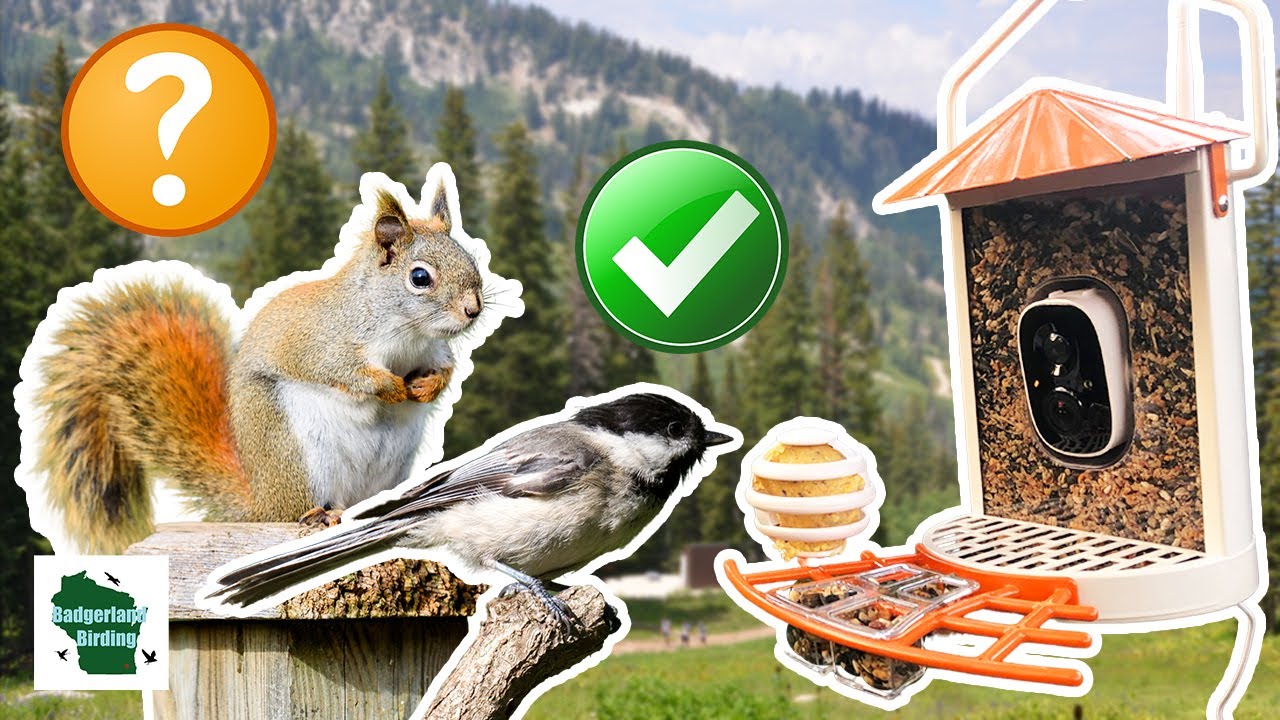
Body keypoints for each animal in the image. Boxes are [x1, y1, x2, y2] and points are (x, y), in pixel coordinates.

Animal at [26, 174, 487, 554]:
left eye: (472, 263)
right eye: (420, 278)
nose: (473, 311)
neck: (406, 333)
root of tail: (260, 501)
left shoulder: (432, 351)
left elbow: (445, 369)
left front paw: (427, 387)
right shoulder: (323, 341)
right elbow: (341, 371)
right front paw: (389, 387)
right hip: (297, 454)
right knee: (297, 508)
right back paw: (322, 514)